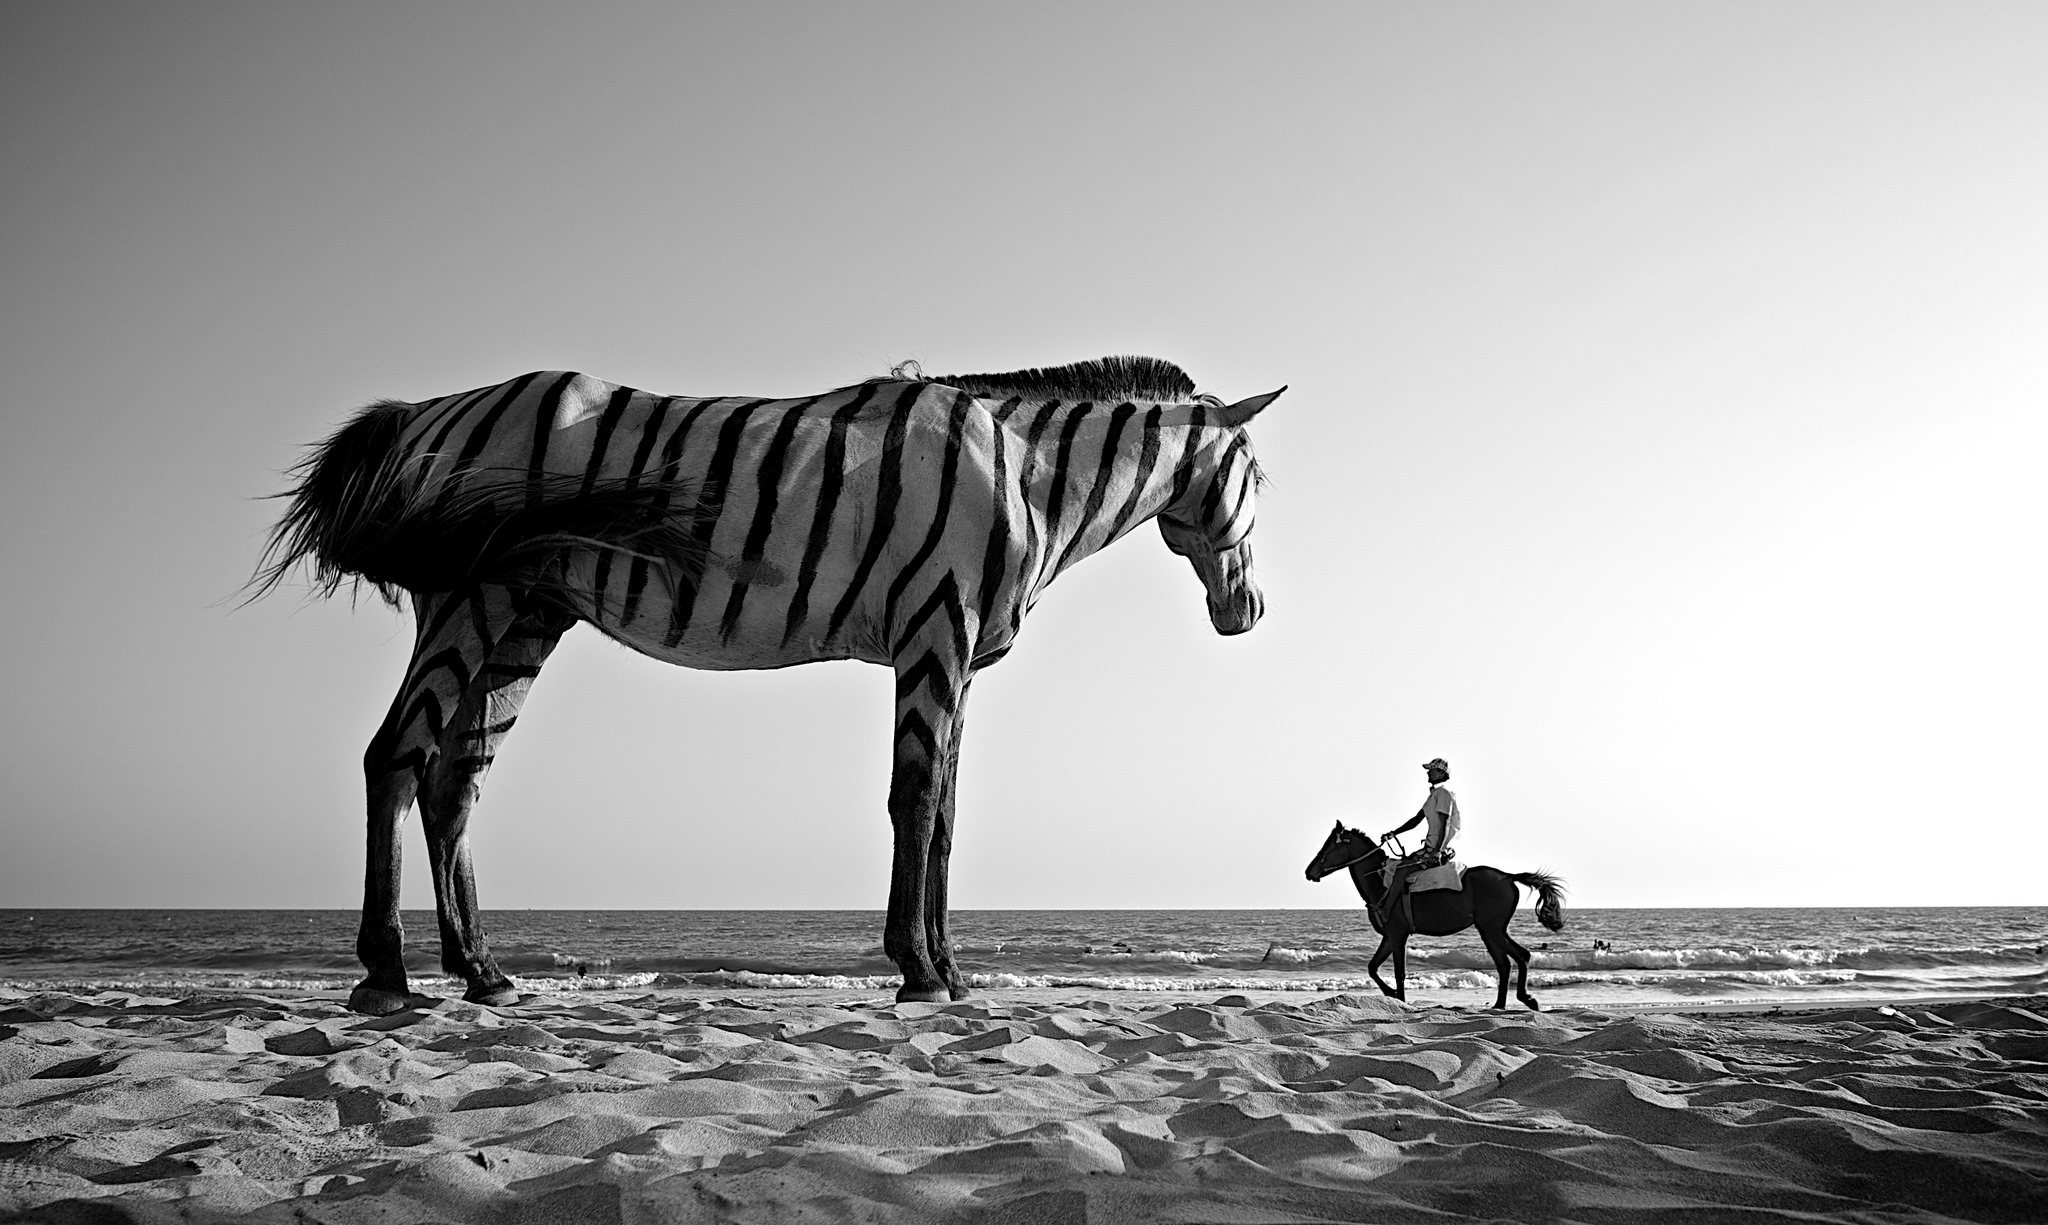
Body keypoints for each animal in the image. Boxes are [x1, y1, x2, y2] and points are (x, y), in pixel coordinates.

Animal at [256, 358, 1277, 1016]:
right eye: (1258, 479)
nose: (1252, 611)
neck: (1024, 476)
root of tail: (430, 408)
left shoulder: (956, 656)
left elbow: (948, 813)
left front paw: (951, 971)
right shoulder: (934, 631)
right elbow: (916, 800)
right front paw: (917, 968)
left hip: (524, 615)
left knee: (452, 783)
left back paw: (482, 972)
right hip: (477, 596)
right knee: (395, 757)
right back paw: (388, 975)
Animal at [1302, 819, 1556, 1011]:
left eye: (1330, 846)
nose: (1309, 871)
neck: (1380, 882)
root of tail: (1507, 876)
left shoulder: (1398, 935)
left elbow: (1399, 972)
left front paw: (1399, 998)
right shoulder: (1389, 936)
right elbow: (1372, 967)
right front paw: (1392, 993)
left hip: (1490, 930)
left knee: (1512, 960)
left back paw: (1515, 1001)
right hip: (1493, 930)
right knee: (1513, 960)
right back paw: (1509, 1002)